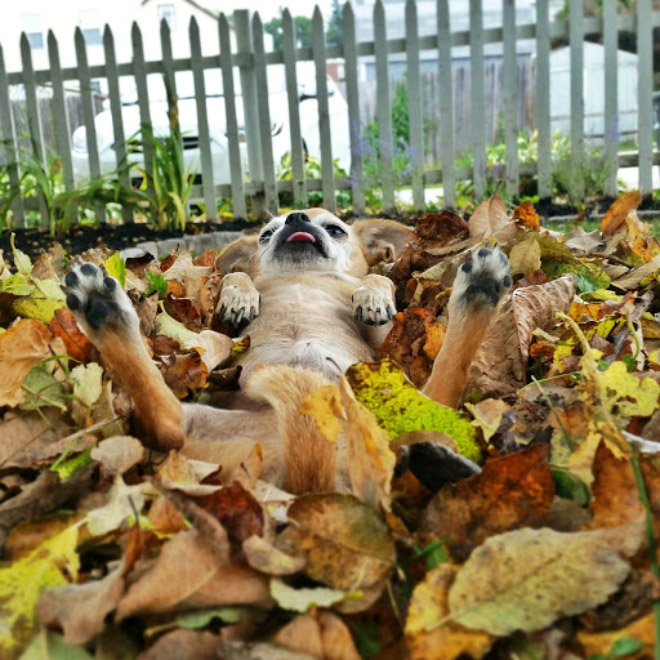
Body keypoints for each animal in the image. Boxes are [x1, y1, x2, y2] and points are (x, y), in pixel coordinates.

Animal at [65, 209, 510, 492]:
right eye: (265, 233)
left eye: (336, 229)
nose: (297, 217)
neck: (302, 277)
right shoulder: (222, 331)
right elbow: (239, 276)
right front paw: (240, 295)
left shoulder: (386, 341)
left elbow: (380, 285)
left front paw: (372, 293)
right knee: (164, 421)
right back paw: (103, 307)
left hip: (404, 403)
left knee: (445, 391)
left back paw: (479, 288)